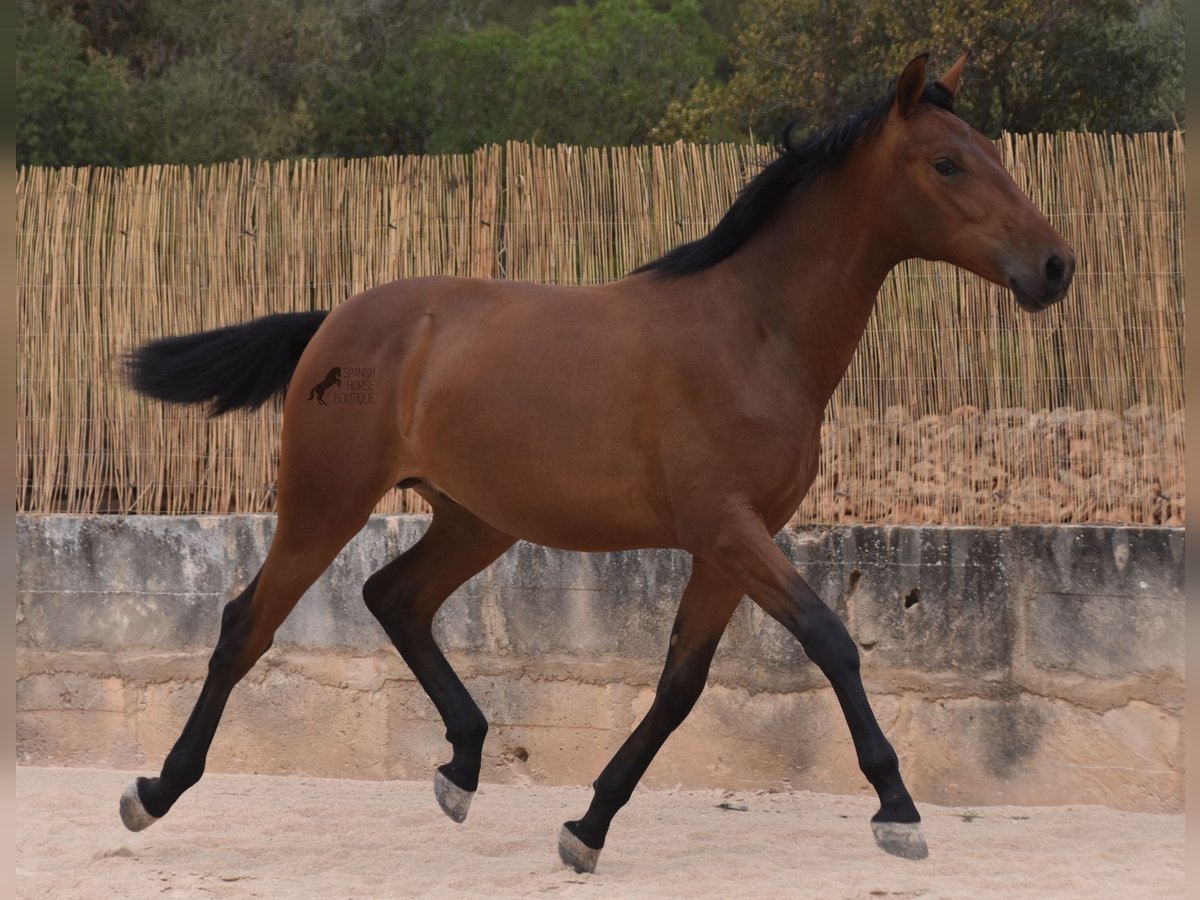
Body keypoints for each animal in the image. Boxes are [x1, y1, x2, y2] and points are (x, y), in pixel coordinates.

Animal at [124, 54, 1080, 873]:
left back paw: (461, 768)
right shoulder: (727, 530)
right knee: (246, 623)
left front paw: (587, 826)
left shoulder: (731, 544)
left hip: (477, 520)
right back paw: (156, 791)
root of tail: (335, 322)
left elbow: (681, 685)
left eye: (995, 154)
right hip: (327, 503)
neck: (754, 331)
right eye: (948, 164)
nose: (1055, 266)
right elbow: (831, 641)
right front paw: (898, 810)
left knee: (394, 597)